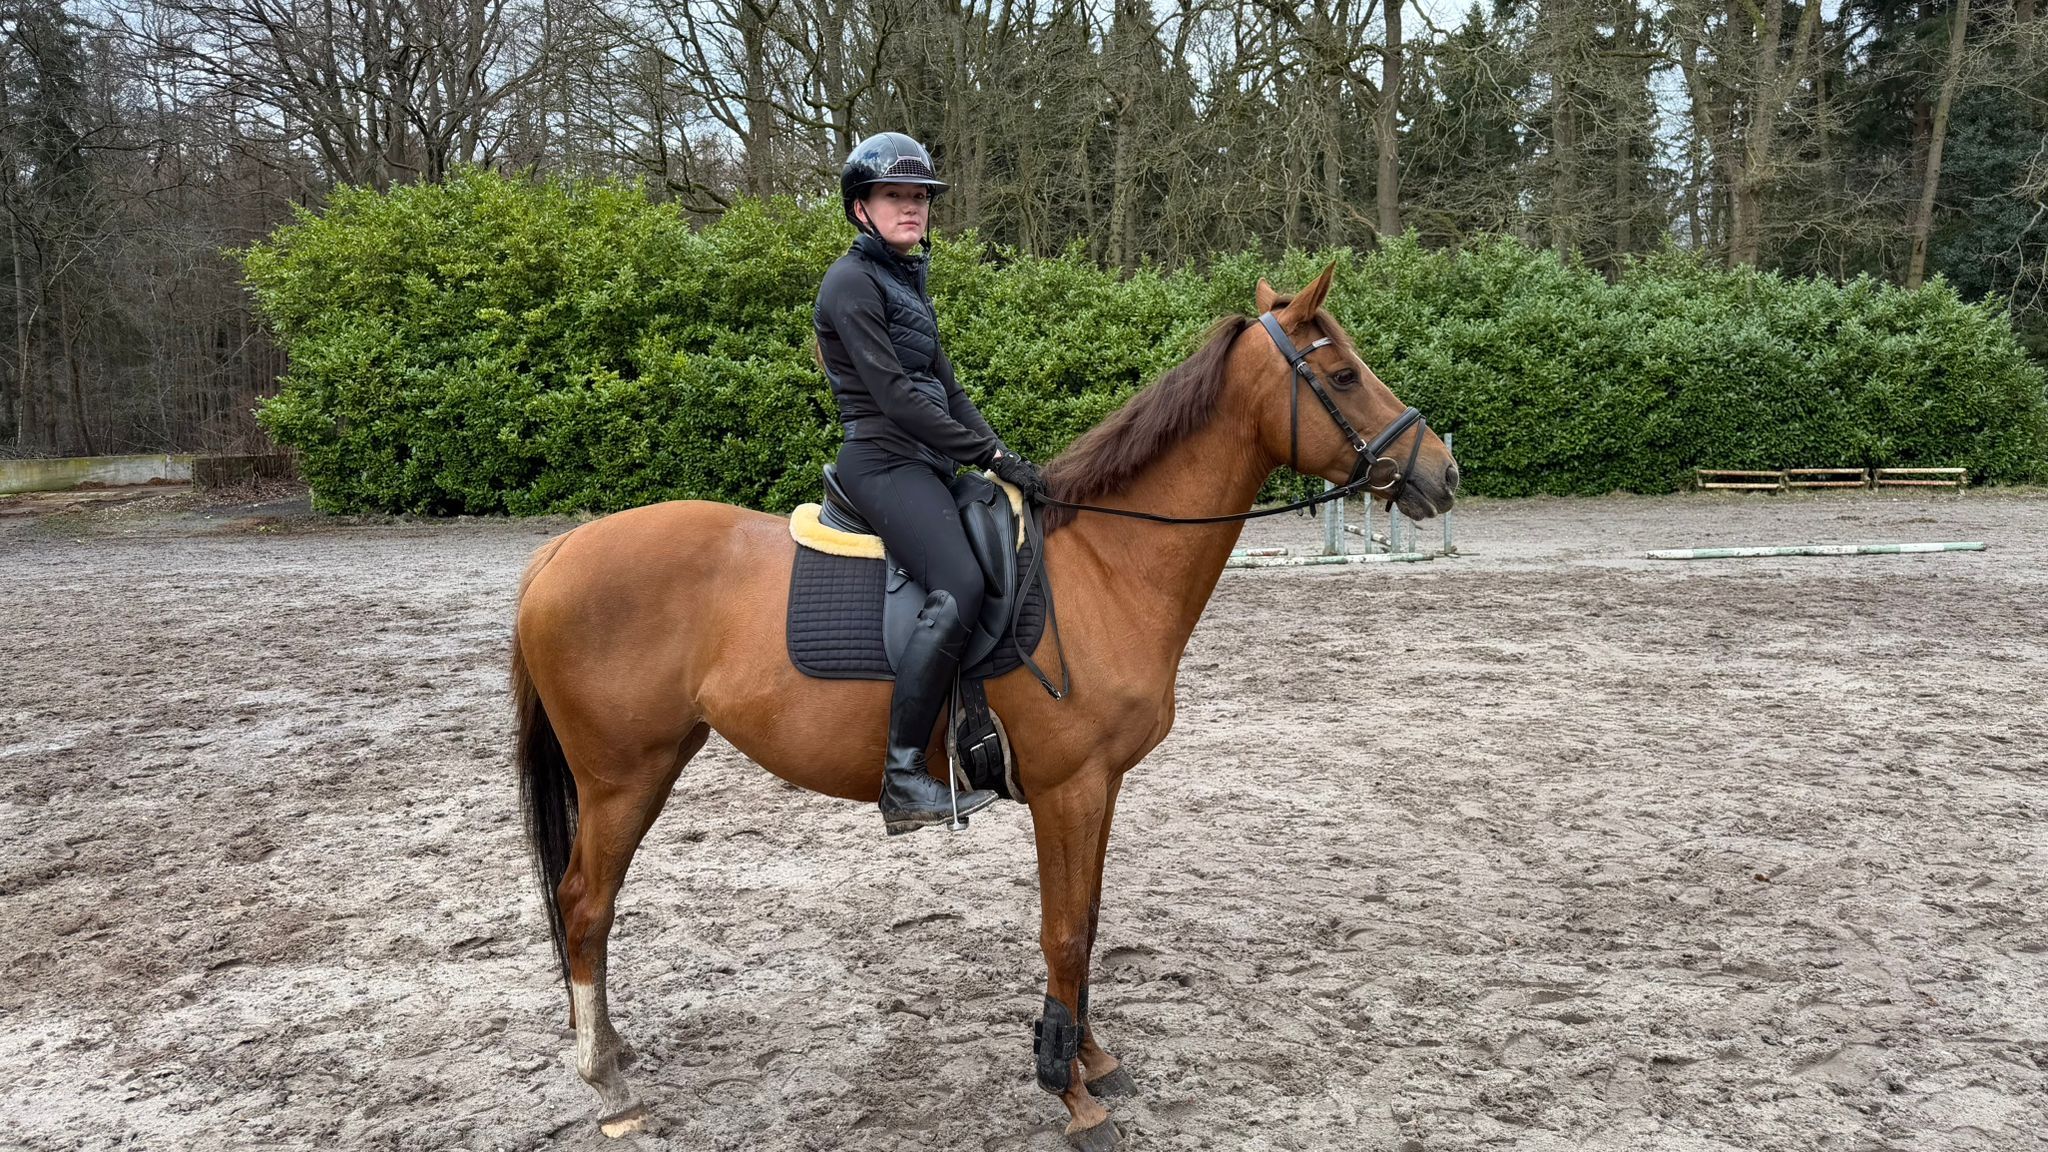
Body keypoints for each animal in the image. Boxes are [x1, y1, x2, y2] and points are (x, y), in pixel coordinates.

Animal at [511, 264, 1459, 1149]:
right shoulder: (1068, 789)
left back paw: (614, 1049)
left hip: (655, 765)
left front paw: (1091, 1059)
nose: (1443, 472)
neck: (1107, 564)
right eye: (1343, 376)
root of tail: (561, 551)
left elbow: (1089, 918)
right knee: (586, 903)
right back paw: (608, 1083)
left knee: (591, 904)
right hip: (621, 778)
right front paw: (1069, 1094)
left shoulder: (1101, 787)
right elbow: (1064, 933)